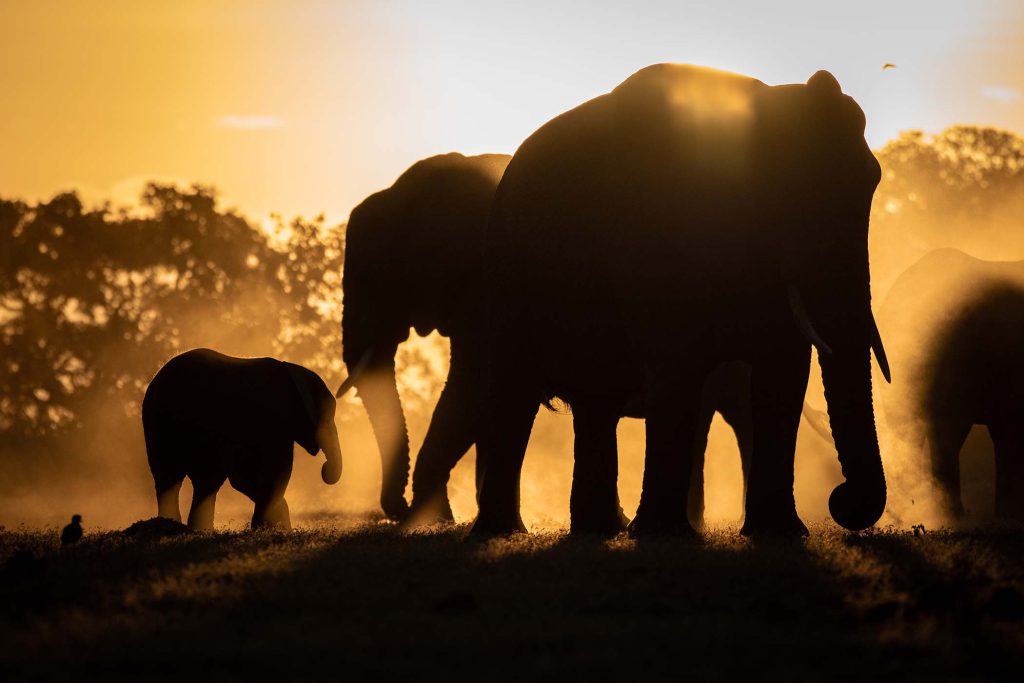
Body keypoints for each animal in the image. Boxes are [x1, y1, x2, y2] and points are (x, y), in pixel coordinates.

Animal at [142, 350, 342, 532]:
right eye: (328, 417)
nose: (325, 469)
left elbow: (243, 477)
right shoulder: (273, 421)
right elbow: (275, 471)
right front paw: (267, 529)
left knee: (183, 478)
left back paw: (186, 528)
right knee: (189, 477)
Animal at [471, 63, 888, 540]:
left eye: (872, 182)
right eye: (792, 190)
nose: (841, 500)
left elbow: (784, 368)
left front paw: (780, 535)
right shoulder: (658, 236)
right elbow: (677, 365)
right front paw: (662, 536)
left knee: (597, 402)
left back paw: (598, 530)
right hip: (505, 269)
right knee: (514, 391)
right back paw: (504, 533)